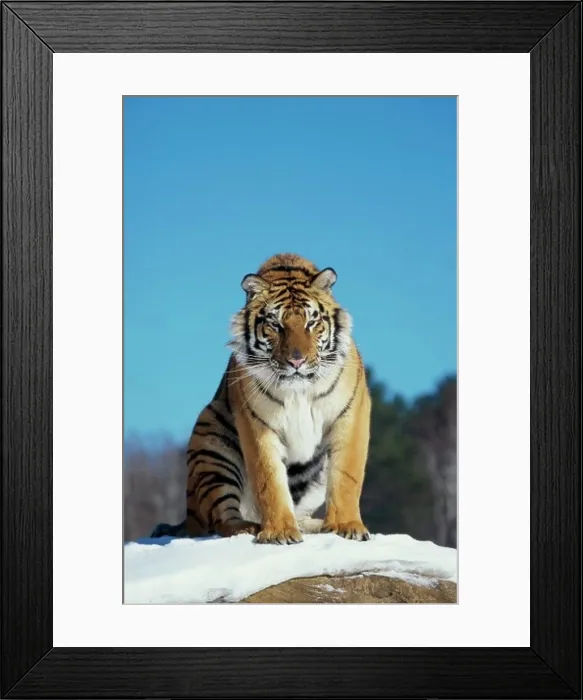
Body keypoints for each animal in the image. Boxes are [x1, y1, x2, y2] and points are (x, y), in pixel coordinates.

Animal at [183, 252, 371, 545]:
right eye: (275, 325)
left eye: (311, 323)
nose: (297, 361)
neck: (299, 390)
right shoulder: (255, 424)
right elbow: (269, 481)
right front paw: (279, 532)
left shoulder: (350, 413)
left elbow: (347, 475)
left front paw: (346, 525)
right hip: (212, 439)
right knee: (221, 519)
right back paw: (247, 527)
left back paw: (318, 525)